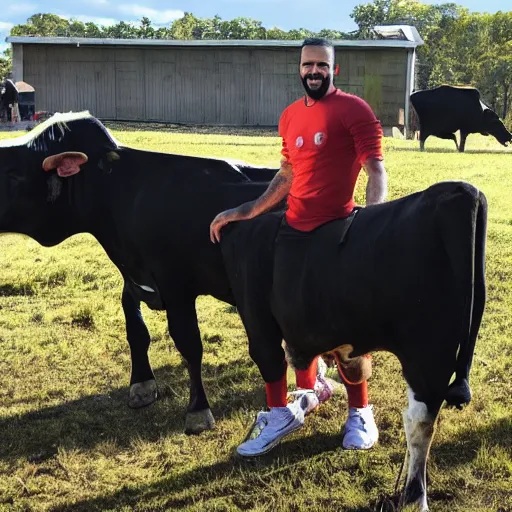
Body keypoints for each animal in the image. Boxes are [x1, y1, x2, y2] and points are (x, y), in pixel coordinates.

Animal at [0, 111, 280, 432]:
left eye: (12, 173)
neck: (122, 192)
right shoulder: (134, 278)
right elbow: (135, 329)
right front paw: (142, 384)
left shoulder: (176, 285)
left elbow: (189, 344)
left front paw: (198, 409)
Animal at [219, 182, 484, 510]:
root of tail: (462, 193)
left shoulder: (257, 317)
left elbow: (271, 364)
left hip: (428, 356)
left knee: (419, 424)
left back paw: (414, 497)